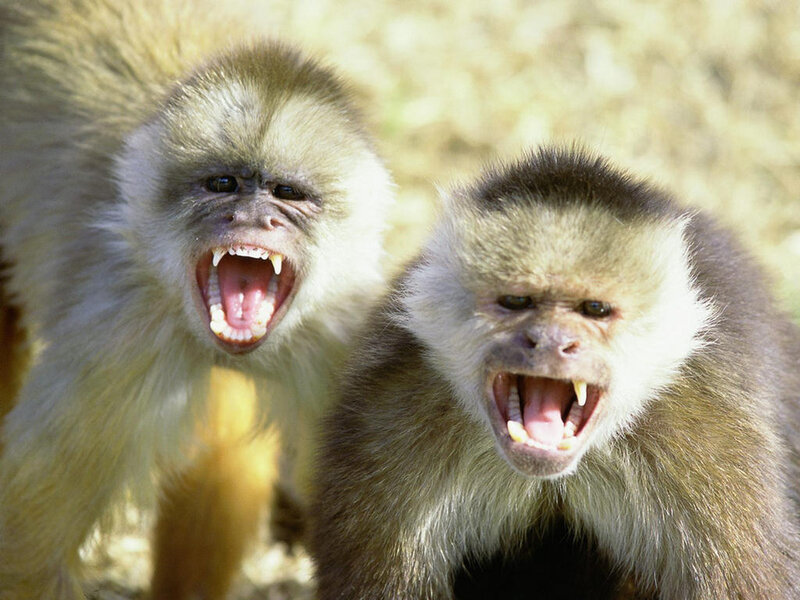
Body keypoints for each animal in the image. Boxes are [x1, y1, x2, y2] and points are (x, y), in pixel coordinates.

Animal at [0, 0, 394, 597]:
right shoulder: (119, 339)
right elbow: (26, 545)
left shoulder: (345, 338)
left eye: (287, 194)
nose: (251, 217)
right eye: (223, 184)